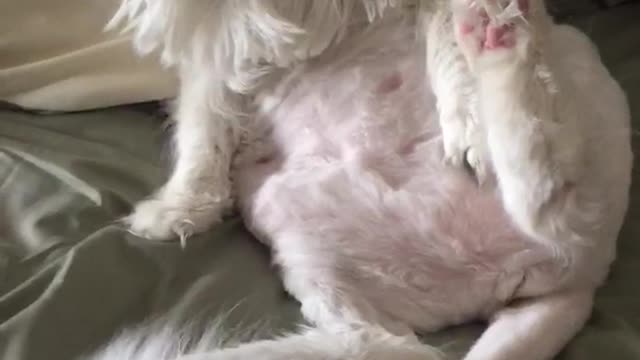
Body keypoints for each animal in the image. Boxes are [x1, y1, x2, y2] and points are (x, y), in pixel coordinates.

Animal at [97, 1, 632, 358]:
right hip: (319, 269)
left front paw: (465, 121)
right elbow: (204, 130)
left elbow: (445, 49)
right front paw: (180, 209)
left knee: (548, 183)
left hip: (580, 126)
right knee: (387, 344)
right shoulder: (219, 50)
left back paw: (495, 39)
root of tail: (580, 281)